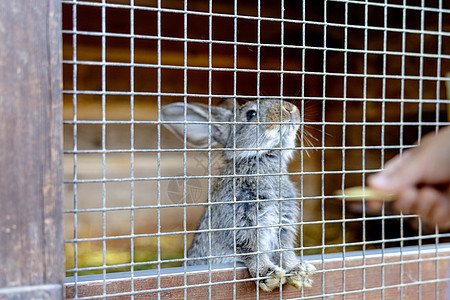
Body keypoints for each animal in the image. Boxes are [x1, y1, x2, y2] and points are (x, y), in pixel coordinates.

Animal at [163, 99, 316, 292]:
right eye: (251, 114)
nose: (289, 108)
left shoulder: (284, 225)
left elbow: (285, 251)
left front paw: (299, 271)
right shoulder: (241, 221)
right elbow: (252, 249)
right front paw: (269, 275)